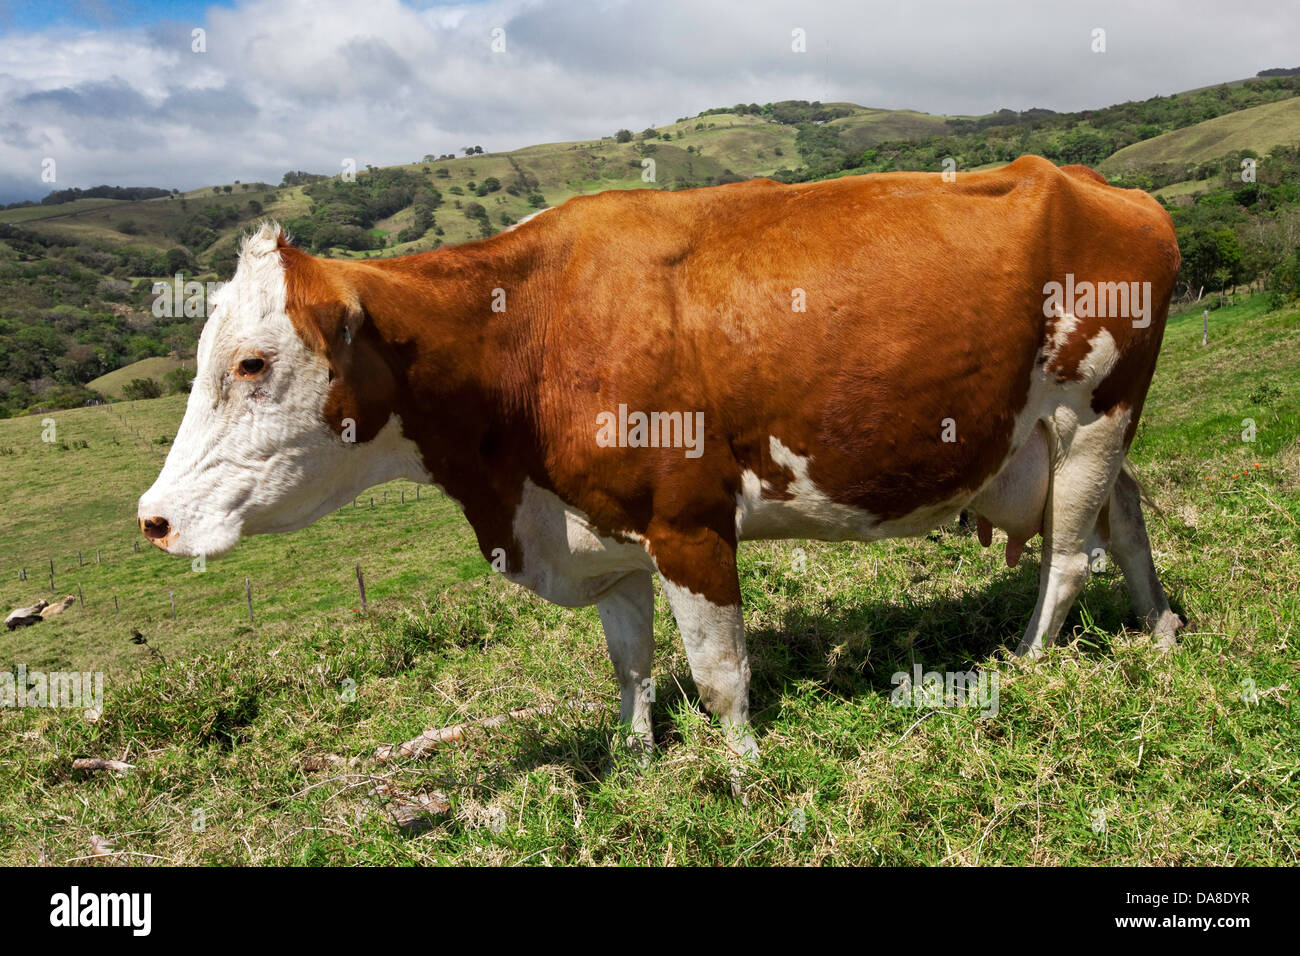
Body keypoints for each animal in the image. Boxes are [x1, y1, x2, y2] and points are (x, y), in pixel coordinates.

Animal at [142, 157, 1190, 759]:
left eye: (251, 362)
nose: (153, 519)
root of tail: (1095, 179)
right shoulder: (602, 539)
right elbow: (631, 668)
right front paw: (639, 766)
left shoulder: (689, 522)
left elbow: (721, 676)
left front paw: (745, 775)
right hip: (1066, 431)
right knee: (1127, 515)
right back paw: (1160, 628)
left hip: (1091, 413)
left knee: (1069, 554)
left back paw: (1027, 663)